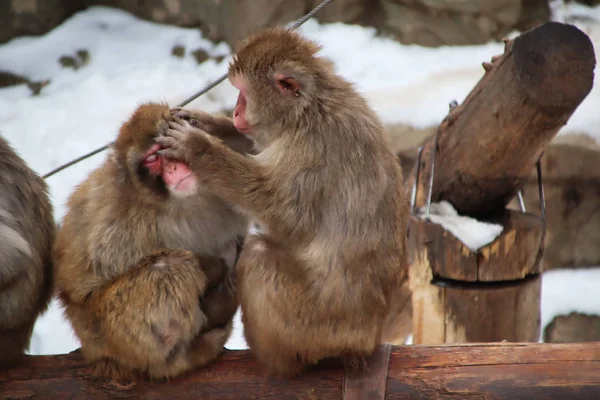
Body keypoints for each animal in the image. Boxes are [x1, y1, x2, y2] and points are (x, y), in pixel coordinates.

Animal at [51, 102, 248, 382]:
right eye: (154, 158)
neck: (179, 202)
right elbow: (85, 288)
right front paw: (214, 268)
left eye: (169, 149)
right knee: (169, 268)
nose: (174, 169)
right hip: (112, 339)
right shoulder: (116, 221)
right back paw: (185, 356)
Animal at [155, 28, 408, 378]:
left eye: (243, 93)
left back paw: (275, 361)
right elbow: (255, 143)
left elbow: (287, 216)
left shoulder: (313, 148)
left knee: (258, 255)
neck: (307, 111)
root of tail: (368, 339)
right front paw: (205, 123)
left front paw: (198, 146)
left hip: (317, 326)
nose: (236, 112)